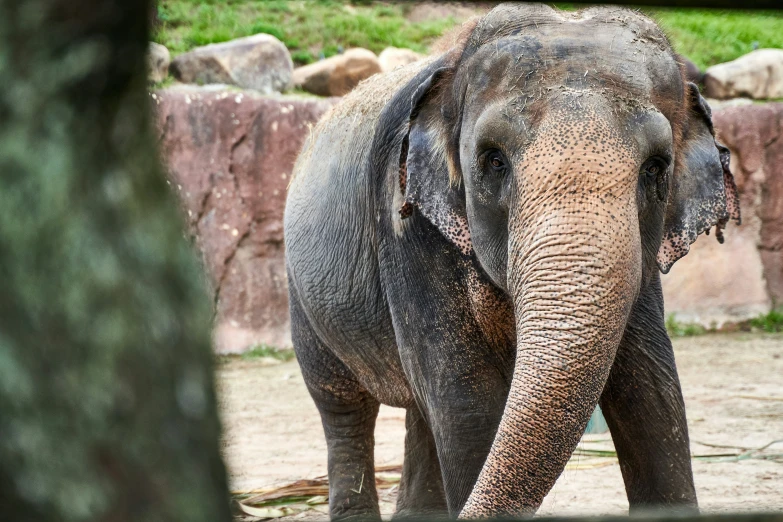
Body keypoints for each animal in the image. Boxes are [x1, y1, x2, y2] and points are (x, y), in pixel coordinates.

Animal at [282, 3, 740, 516]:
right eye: (494, 160)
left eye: (656, 168)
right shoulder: (404, 227)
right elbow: (466, 399)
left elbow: (653, 391)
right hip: (303, 294)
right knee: (343, 407)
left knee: (420, 410)